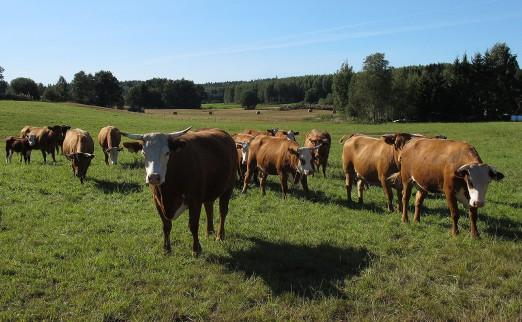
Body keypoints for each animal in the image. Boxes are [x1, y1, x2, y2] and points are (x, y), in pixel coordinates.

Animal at [120, 127, 236, 255]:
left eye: (167, 153)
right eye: (144, 153)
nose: (154, 177)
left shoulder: (195, 201)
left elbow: (193, 225)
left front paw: (196, 249)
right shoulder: (157, 201)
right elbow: (166, 225)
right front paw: (166, 248)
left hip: (228, 188)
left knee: (223, 211)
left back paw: (220, 235)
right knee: (209, 207)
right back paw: (209, 232)